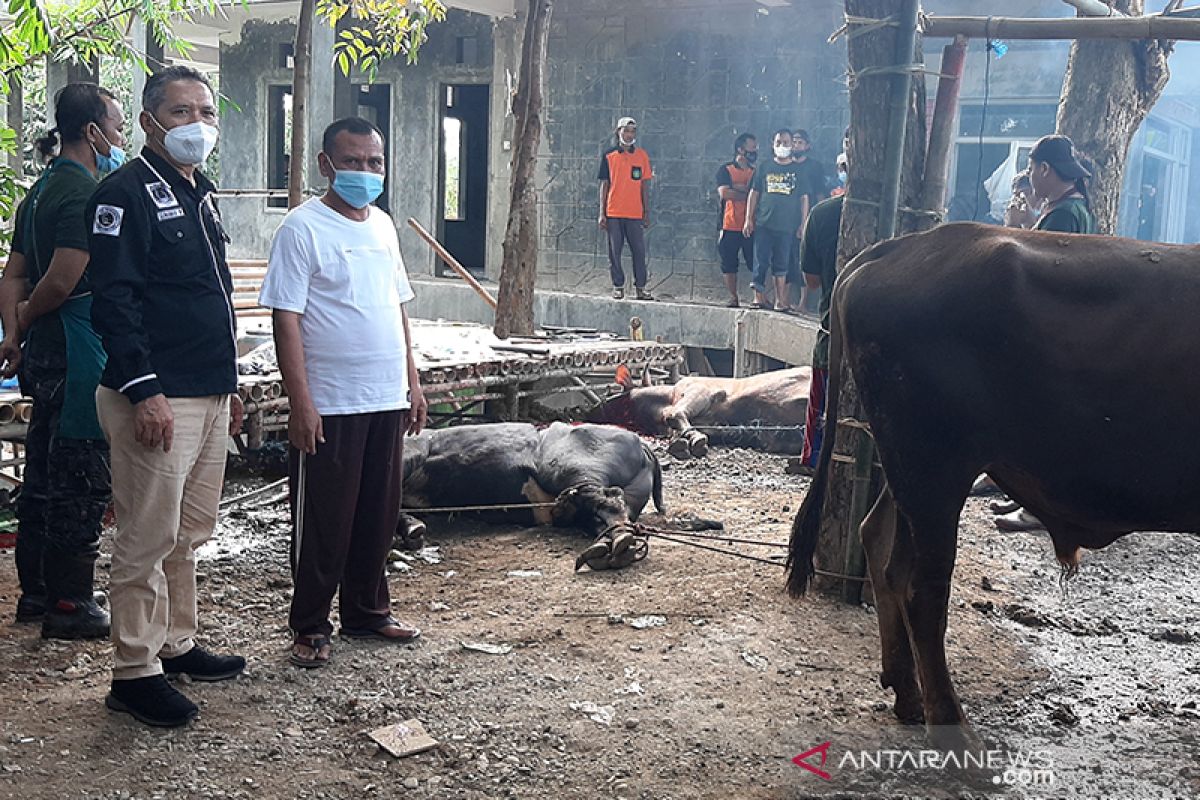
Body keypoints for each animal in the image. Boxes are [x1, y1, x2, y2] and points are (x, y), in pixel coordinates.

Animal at [592, 362, 811, 455]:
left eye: (610, 391)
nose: (592, 409)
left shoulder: (700, 389)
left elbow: (677, 414)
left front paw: (695, 440)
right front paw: (685, 442)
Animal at [787, 221, 1200, 753]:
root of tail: (903, 246)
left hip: (909, 465)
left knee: (880, 544)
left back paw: (908, 694)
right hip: (934, 466)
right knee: (923, 589)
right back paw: (952, 728)